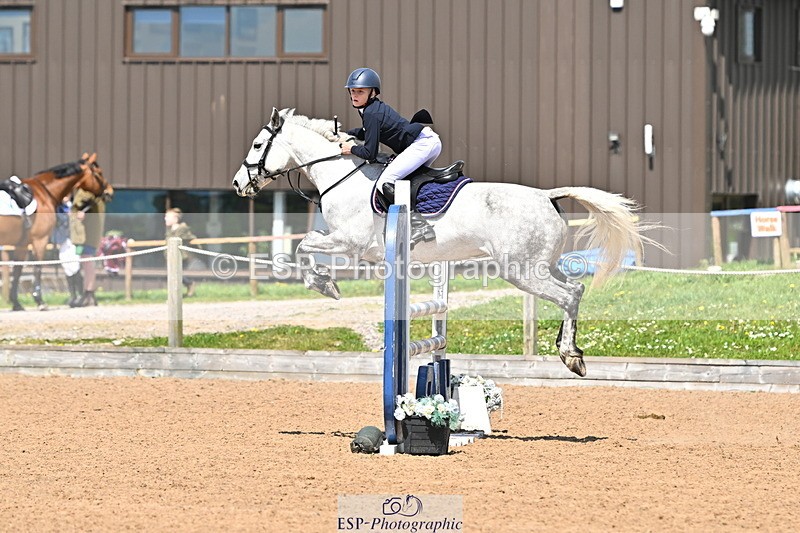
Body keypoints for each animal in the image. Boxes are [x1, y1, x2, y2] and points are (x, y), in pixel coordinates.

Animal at [0, 153, 113, 311]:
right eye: (99, 173)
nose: (109, 191)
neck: (43, 193)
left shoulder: (22, 244)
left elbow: (17, 271)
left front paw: (16, 303)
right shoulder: (39, 240)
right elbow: (37, 268)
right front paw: (40, 301)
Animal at [232, 108, 659, 377]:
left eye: (256, 145)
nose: (238, 185)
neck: (343, 174)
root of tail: (545, 196)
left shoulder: (350, 243)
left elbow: (304, 245)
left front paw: (323, 284)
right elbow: (307, 245)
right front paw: (324, 282)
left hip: (521, 271)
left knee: (568, 295)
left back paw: (571, 357)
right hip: (541, 265)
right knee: (576, 287)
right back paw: (572, 352)